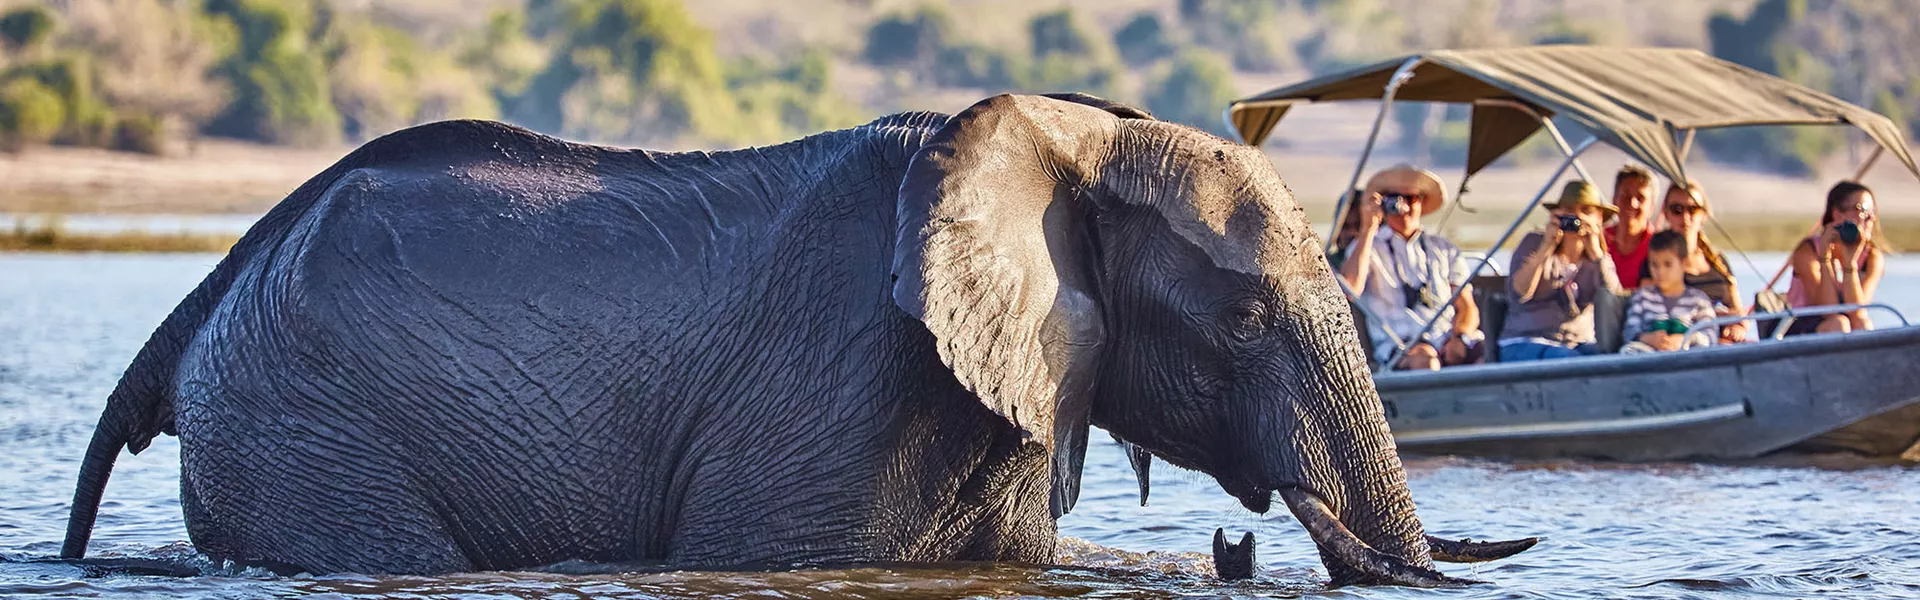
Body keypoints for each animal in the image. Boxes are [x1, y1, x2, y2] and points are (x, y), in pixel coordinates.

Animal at [60, 93, 1533, 585]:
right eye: (1239, 318)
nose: (1237, 543)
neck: (1068, 134)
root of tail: (216, 287)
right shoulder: (845, 383)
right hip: (303, 424)